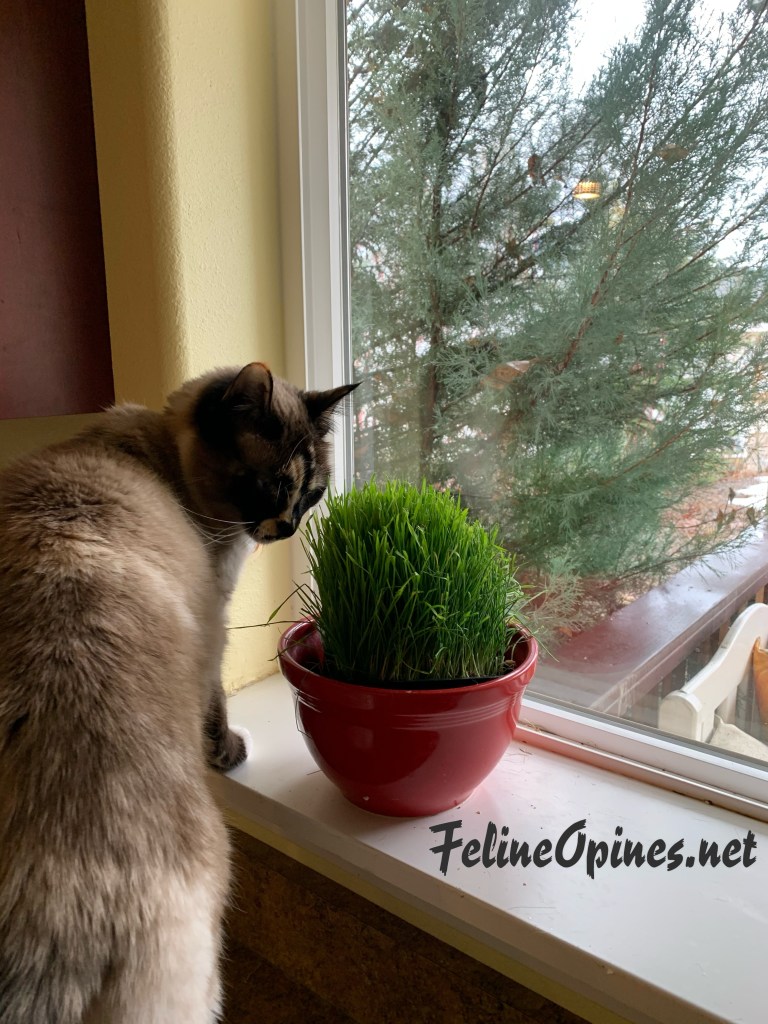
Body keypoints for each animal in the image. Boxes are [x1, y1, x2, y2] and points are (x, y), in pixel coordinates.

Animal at [0, 362, 356, 1024]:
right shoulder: (213, 622)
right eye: (270, 488)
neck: (165, 456)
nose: (289, 528)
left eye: (312, 495)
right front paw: (229, 754)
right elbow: (215, 707)